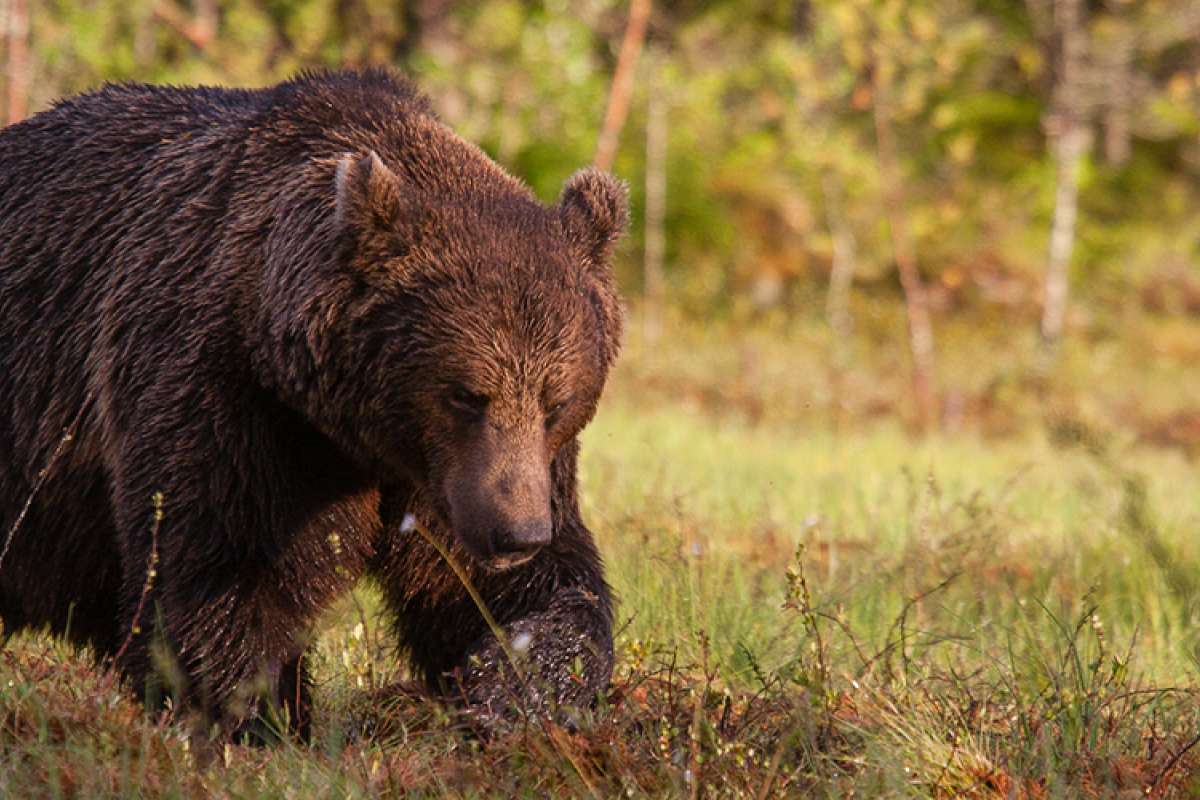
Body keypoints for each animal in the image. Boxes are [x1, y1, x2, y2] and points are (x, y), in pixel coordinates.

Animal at [0, 68, 624, 738]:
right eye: (465, 394)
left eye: (557, 401)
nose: (516, 534)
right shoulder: (227, 394)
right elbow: (226, 573)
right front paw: (256, 717)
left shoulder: (452, 480)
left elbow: (513, 587)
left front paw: (513, 686)